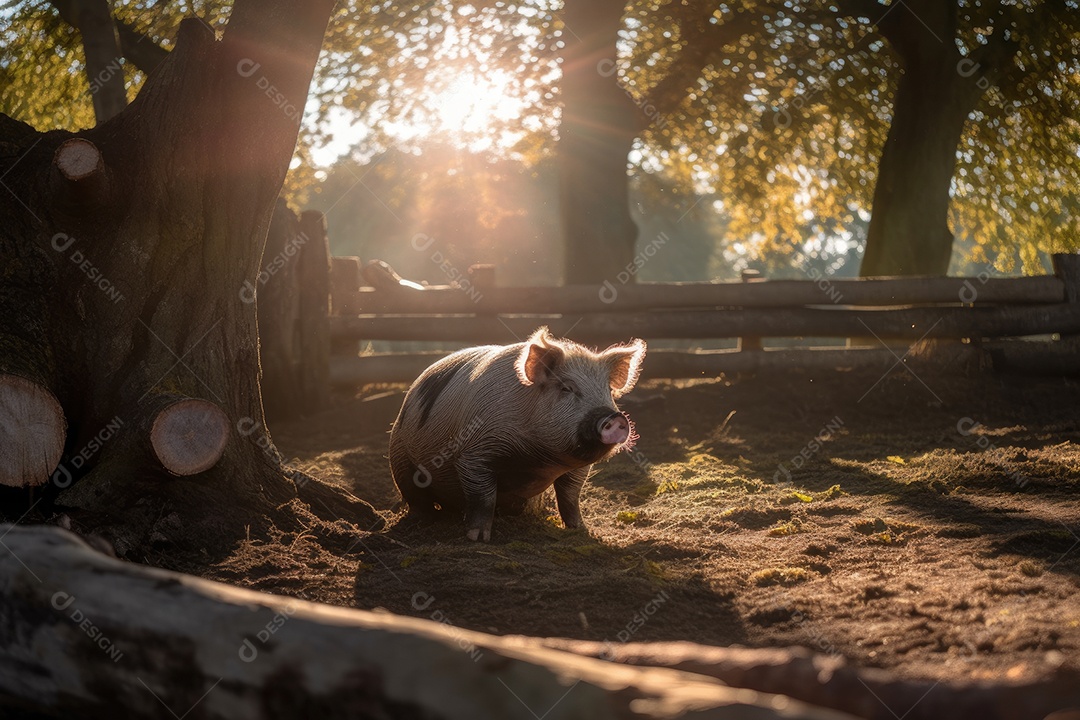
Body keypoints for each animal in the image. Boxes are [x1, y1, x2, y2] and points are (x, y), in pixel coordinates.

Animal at [393, 325, 643, 539]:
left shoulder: (577, 470)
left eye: (608, 390)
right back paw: (420, 521)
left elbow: (570, 497)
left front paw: (582, 531)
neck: (539, 457)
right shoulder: (473, 454)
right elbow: (483, 498)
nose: (613, 417)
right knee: (415, 498)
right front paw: (478, 538)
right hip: (399, 457)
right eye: (566, 388)